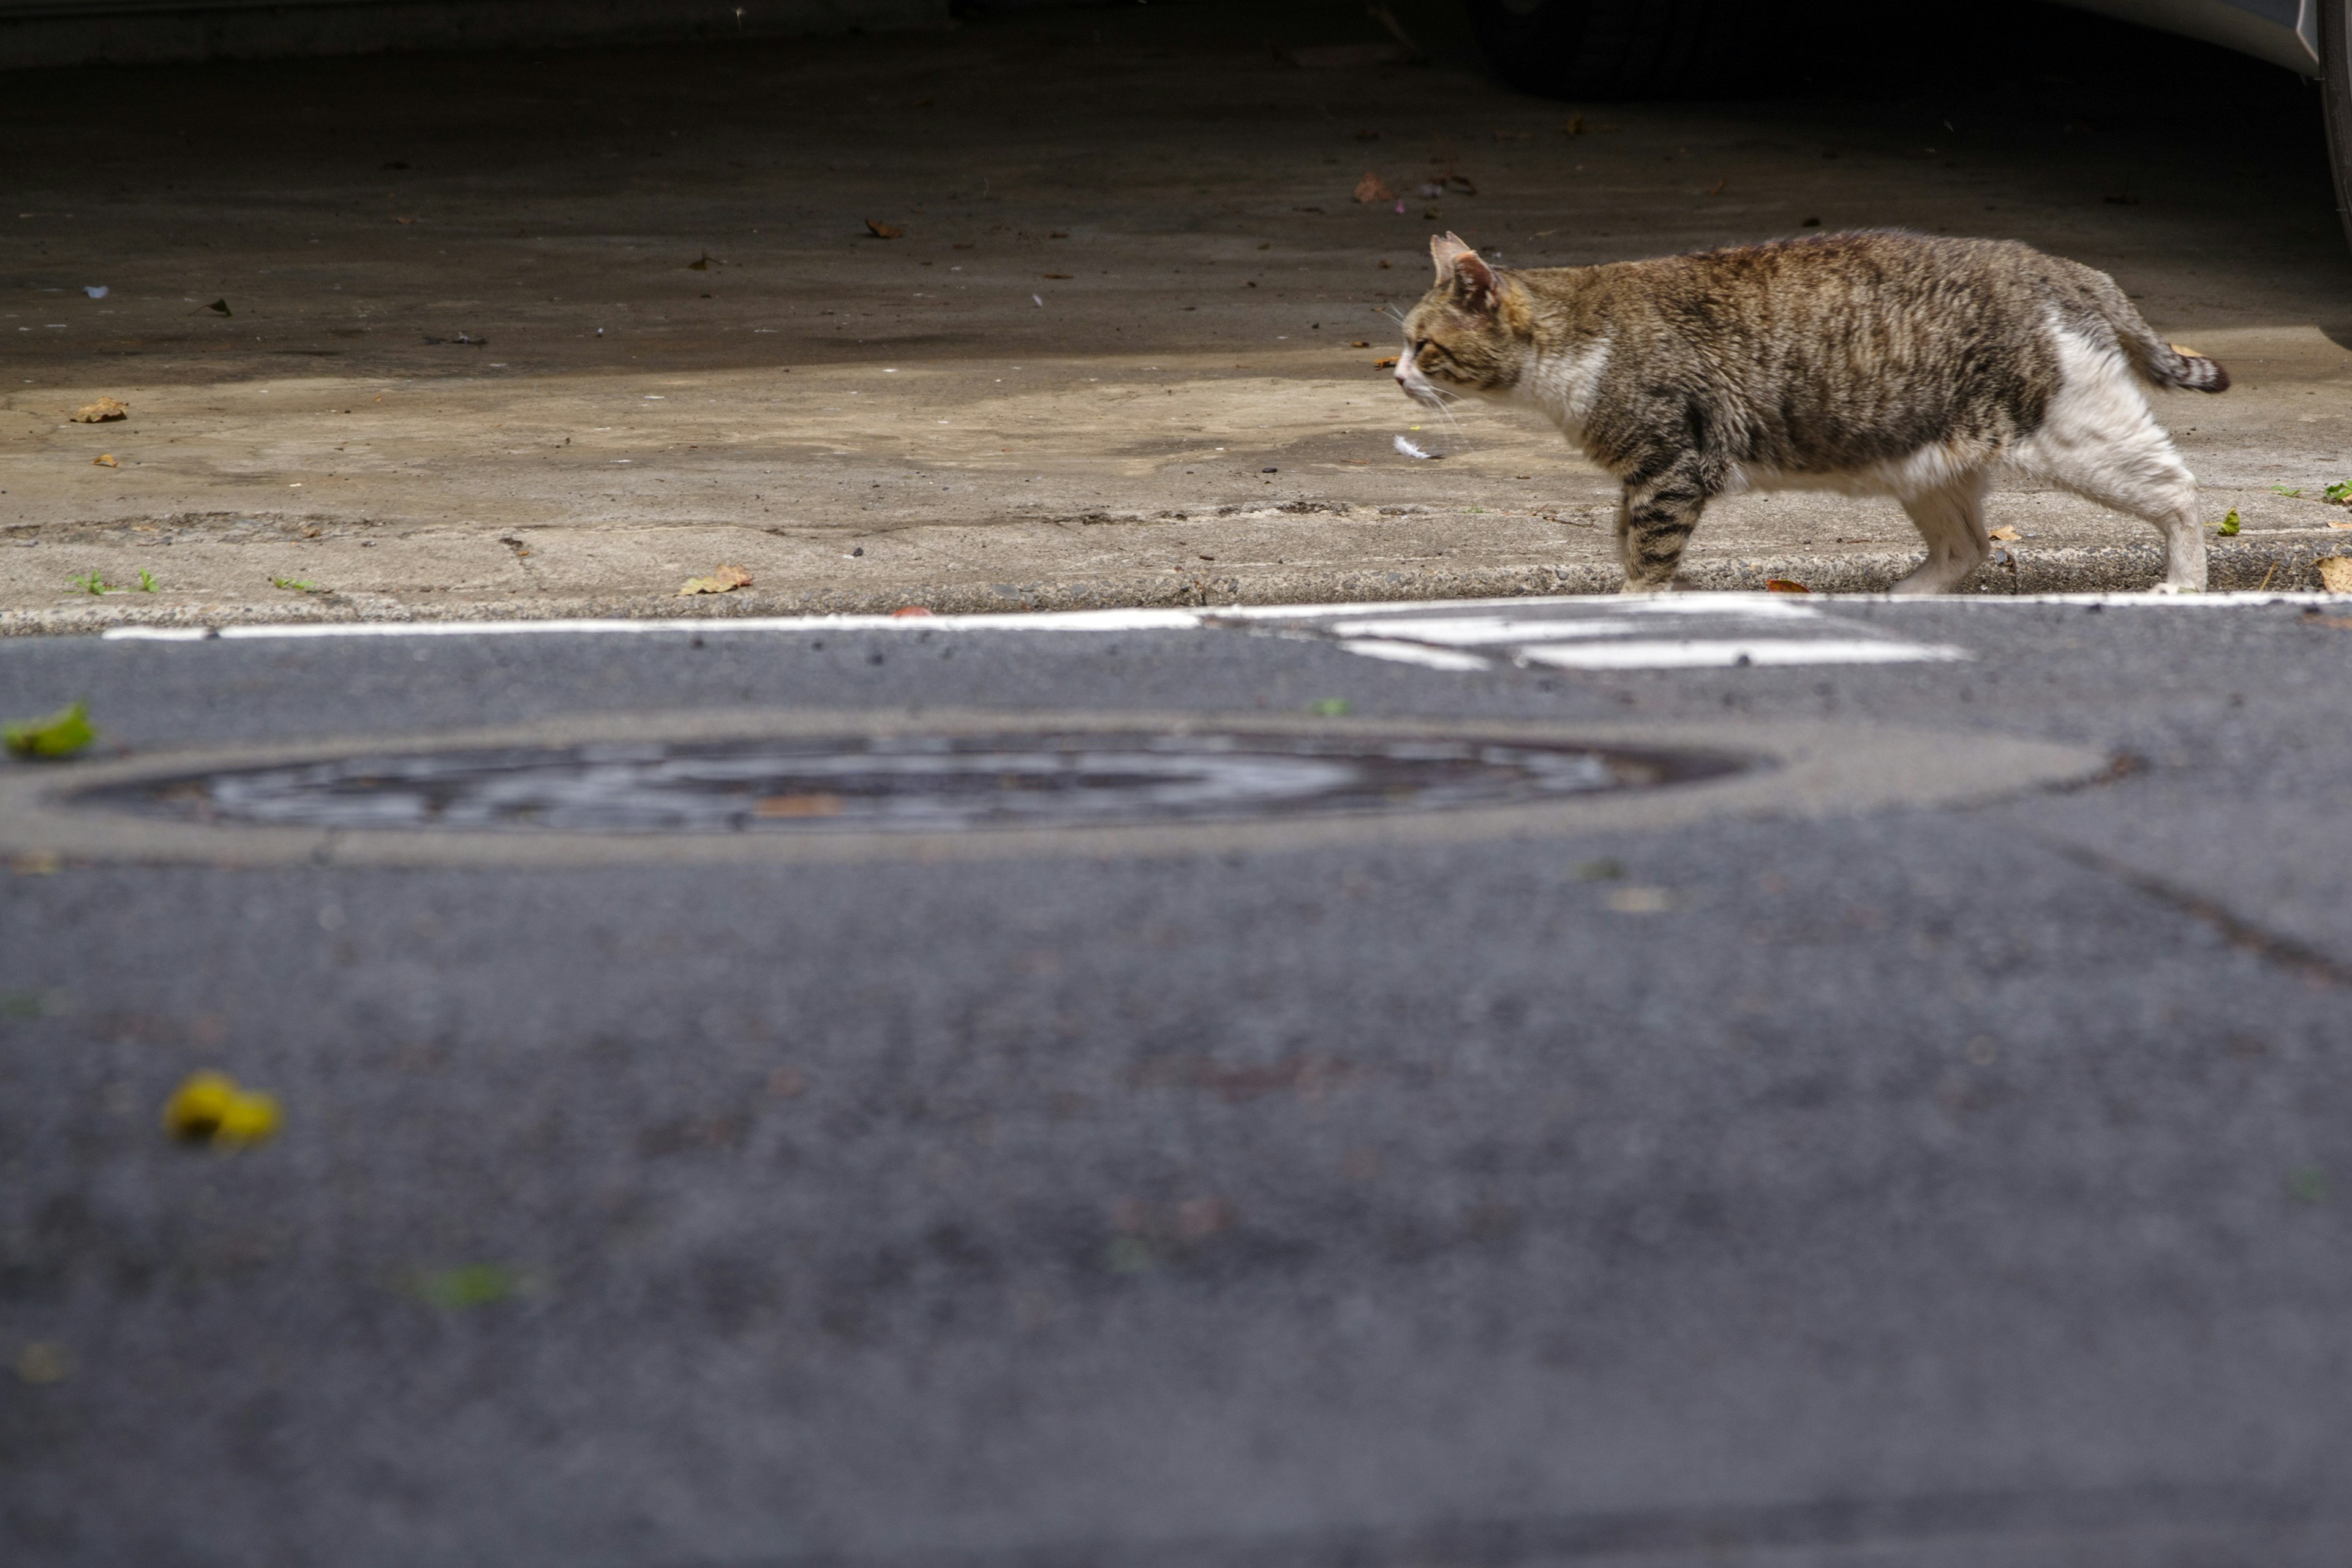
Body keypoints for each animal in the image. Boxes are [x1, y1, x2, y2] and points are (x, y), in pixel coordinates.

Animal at [1392, 232, 2220, 595]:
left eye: (1422, 346)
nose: (1396, 376)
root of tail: (2067, 266)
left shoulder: (1670, 468)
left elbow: (1647, 559)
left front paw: (1636, 609)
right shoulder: (1639, 481)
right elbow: (1625, 543)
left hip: (2079, 434)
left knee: (2181, 493)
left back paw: (2184, 584)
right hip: (1927, 465)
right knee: (1969, 549)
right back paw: (1901, 600)